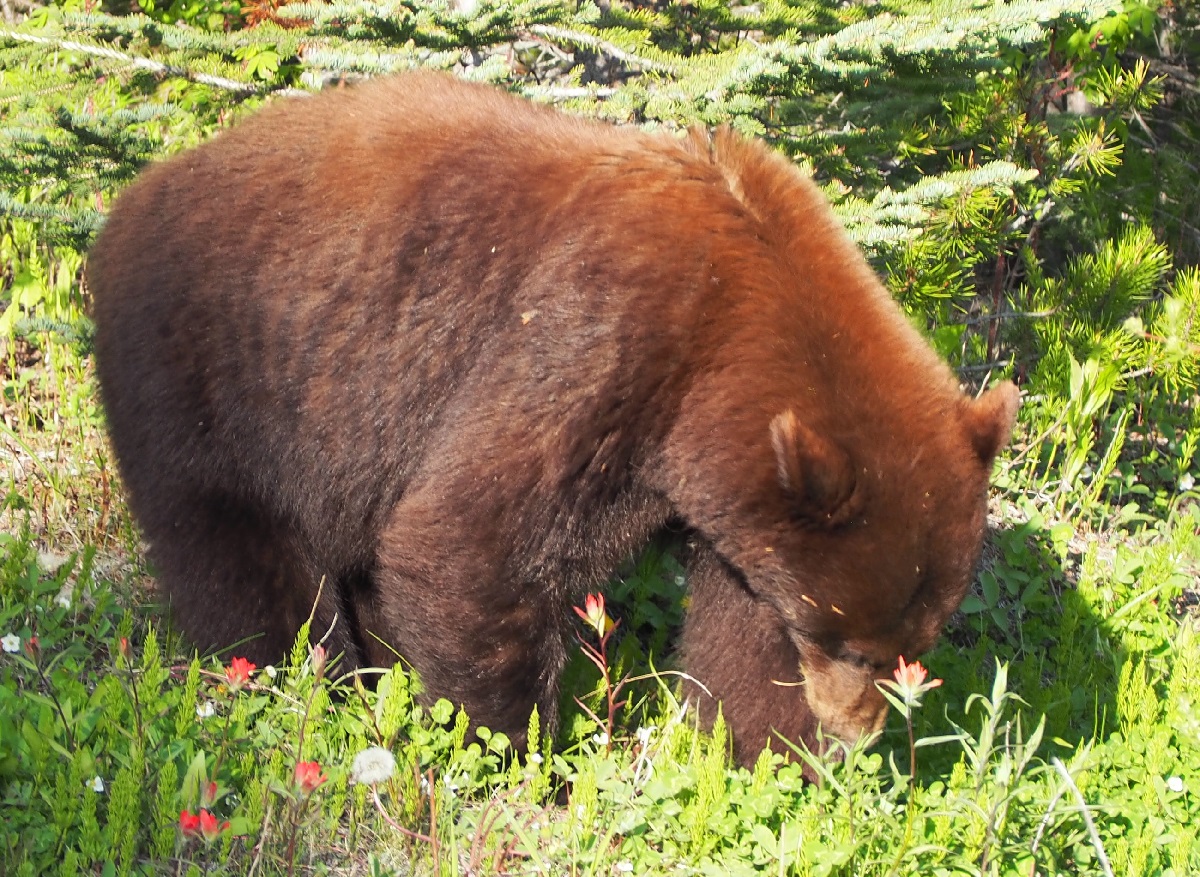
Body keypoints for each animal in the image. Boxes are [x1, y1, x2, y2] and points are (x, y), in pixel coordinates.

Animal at [87, 71, 1019, 768]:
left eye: (912, 639)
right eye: (848, 637)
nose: (855, 726)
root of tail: (124, 206)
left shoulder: (737, 488)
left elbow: (745, 623)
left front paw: (758, 755)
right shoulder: (595, 348)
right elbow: (467, 541)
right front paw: (519, 751)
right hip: (213, 380)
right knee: (248, 563)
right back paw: (306, 682)